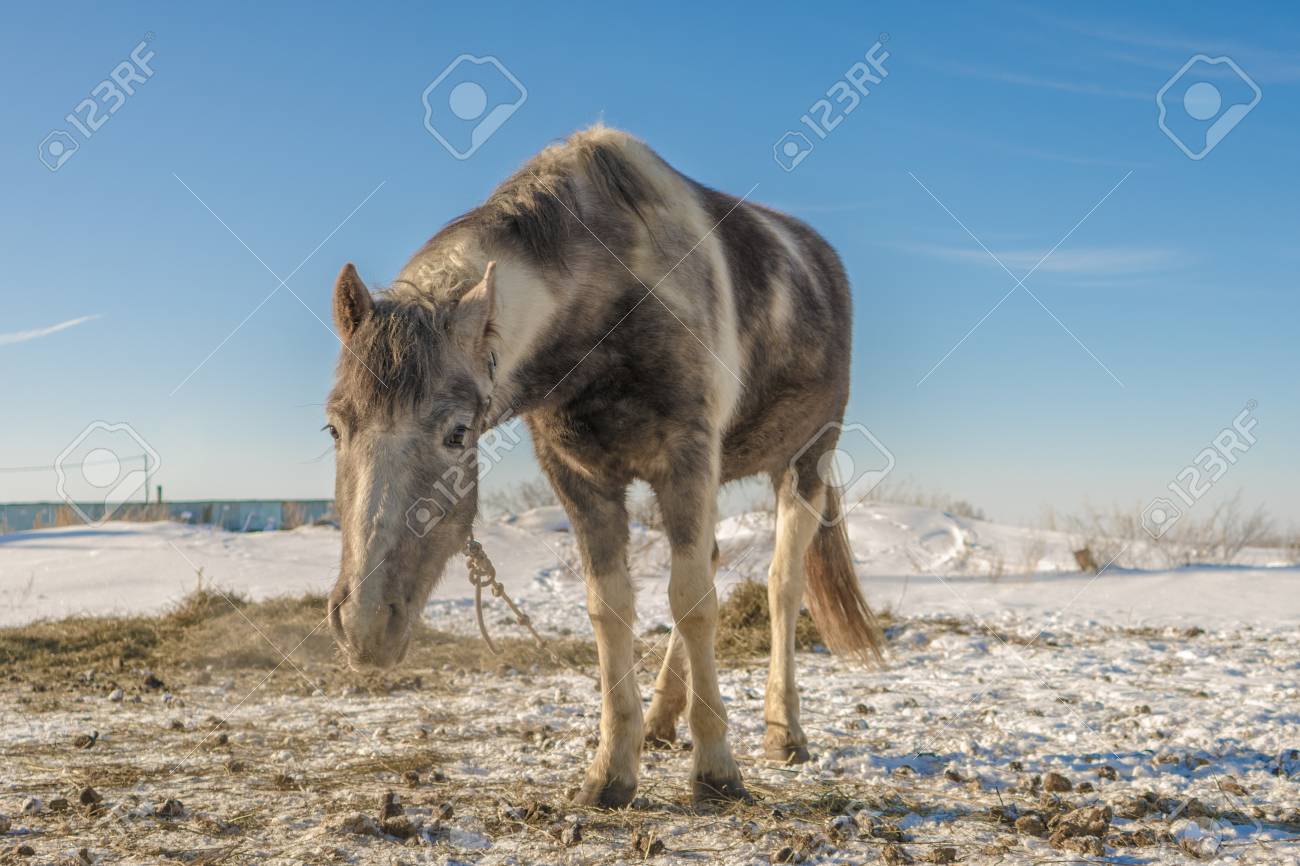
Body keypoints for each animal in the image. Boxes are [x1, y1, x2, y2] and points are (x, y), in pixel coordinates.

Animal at [325, 124, 883, 806]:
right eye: (334, 427)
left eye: (458, 433)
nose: (364, 624)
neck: (609, 299)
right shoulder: (581, 478)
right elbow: (610, 608)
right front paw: (613, 769)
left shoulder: (686, 460)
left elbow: (693, 603)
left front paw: (716, 770)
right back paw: (667, 720)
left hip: (805, 461)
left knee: (782, 584)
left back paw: (784, 734)